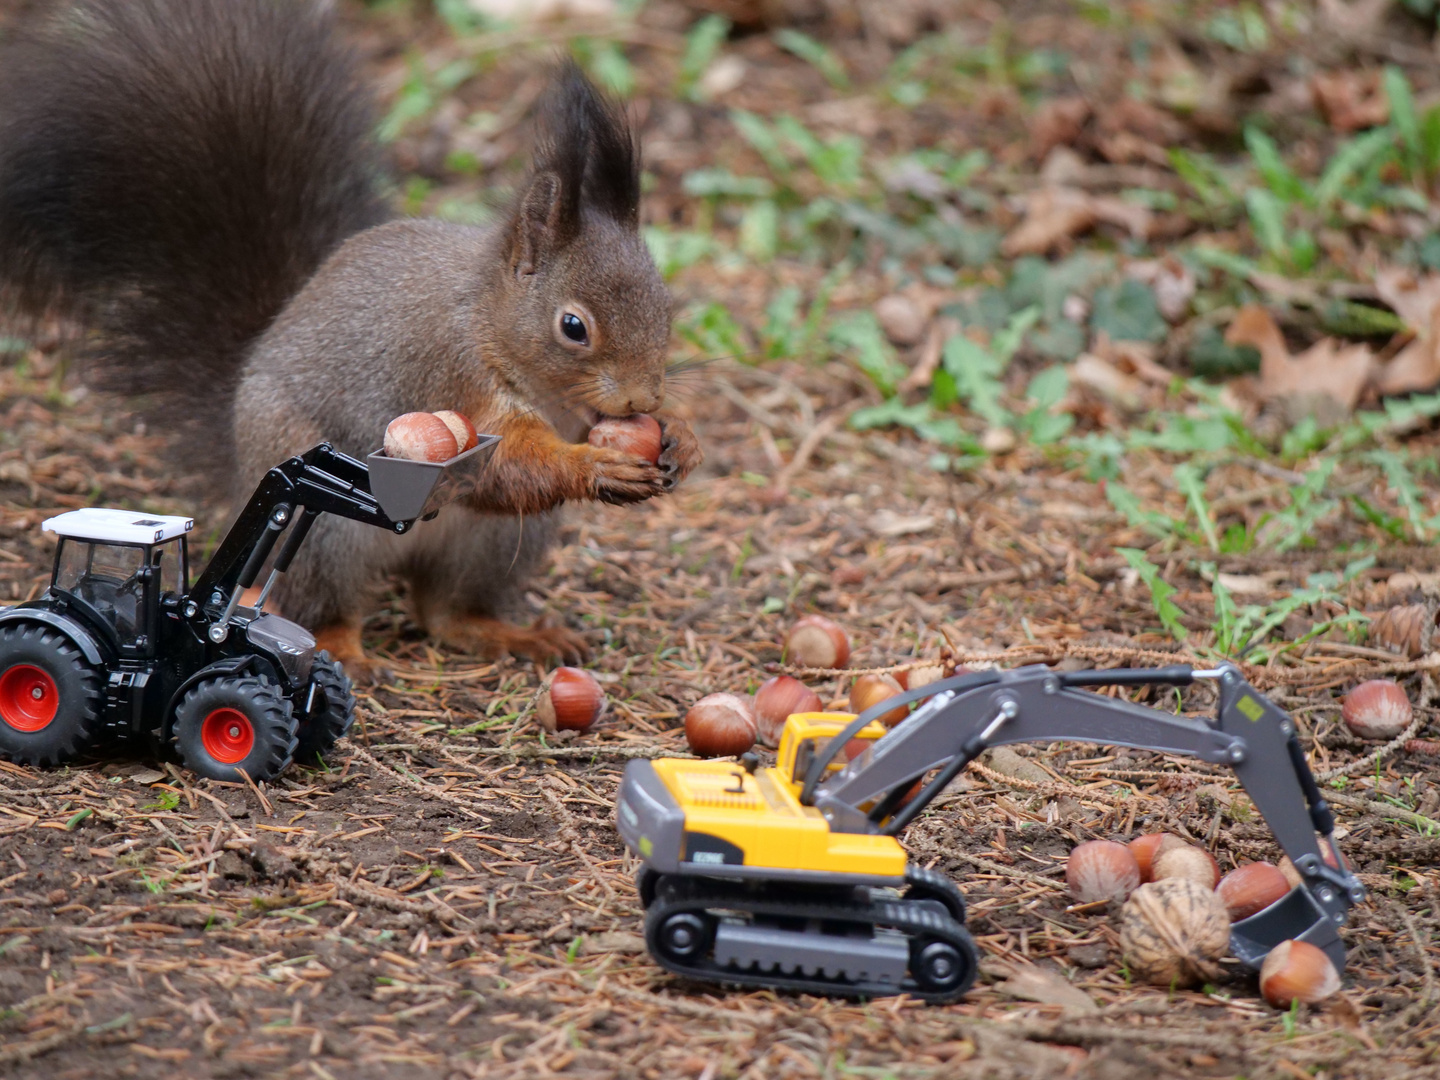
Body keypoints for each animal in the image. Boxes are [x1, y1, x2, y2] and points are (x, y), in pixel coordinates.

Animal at [0, 0, 696, 685]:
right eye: (573, 327)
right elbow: (505, 465)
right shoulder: (450, 373)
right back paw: (342, 653)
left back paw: (513, 635)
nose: (641, 398)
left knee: (446, 612)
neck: (489, 323)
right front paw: (595, 466)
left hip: (491, 548)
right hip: (326, 535)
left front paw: (680, 438)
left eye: (667, 303)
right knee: (323, 603)